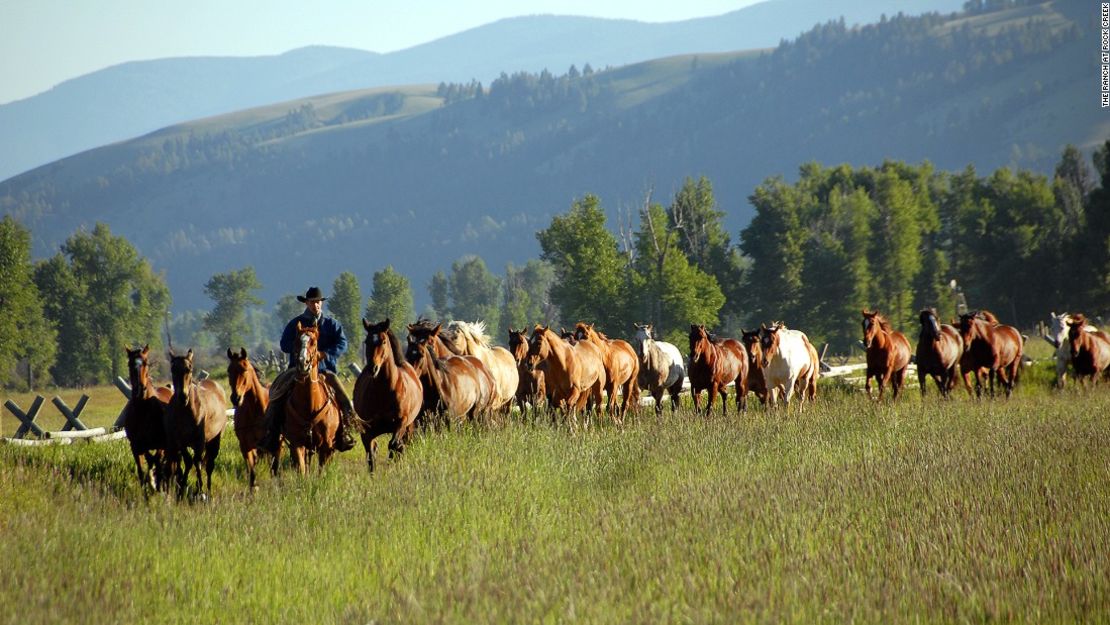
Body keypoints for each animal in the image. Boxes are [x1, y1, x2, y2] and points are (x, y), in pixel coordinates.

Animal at [122, 344, 172, 490]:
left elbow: (157, 463)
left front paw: (158, 486)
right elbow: (142, 470)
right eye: (129, 363)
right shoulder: (136, 446)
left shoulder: (161, 445)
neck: (143, 411)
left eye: (146, 363)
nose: (140, 388)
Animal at [164, 346, 227, 499]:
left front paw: (201, 491)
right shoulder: (180, 441)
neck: (186, 411)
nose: (183, 396)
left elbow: (197, 462)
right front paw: (182, 488)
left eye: (189, 368)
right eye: (173, 369)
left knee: (209, 465)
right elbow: (188, 461)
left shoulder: (200, 441)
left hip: (215, 440)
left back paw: (208, 490)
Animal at [226, 346, 274, 488]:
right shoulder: (246, 446)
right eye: (229, 370)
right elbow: (252, 472)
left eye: (244, 369)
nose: (235, 398)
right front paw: (254, 487)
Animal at [281, 321, 341, 475]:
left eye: (314, 342)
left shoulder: (326, 445)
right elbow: (302, 470)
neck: (310, 405)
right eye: (296, 341)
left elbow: (321, 471)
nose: (303, 363)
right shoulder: (297, 443)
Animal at [355, 319, 424, 472]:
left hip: (408, 427)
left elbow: (393, 445)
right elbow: (371, 453)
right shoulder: (367, 431)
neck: (384, 391)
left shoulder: (401, 423)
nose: (372, 368)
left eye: (383, 341)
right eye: (367, 341)